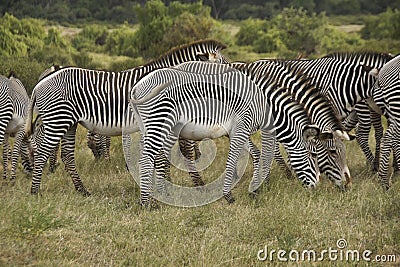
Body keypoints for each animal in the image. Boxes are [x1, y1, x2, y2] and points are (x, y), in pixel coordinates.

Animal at [25, 38, 228, 197]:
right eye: (225, 67)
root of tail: (40, 83)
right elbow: (166, 155)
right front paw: (167, 187)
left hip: (69, 122)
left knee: (66, 155)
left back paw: (82, 190)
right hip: (58, 119)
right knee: (43, 151)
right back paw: (35, 191)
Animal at [130, 61, 324, 206]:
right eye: (312, 155)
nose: (316, 188)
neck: (263, 104)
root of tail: (137, 87)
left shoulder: (240, 130)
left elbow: (256, 153)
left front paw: (256, 188)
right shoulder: (241, 128)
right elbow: (232, 159)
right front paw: (228, 195)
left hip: (156, 126)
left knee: (155, 156)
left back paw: (161, 194)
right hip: (160, 122)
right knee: (148, 157)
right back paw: (146, 203)